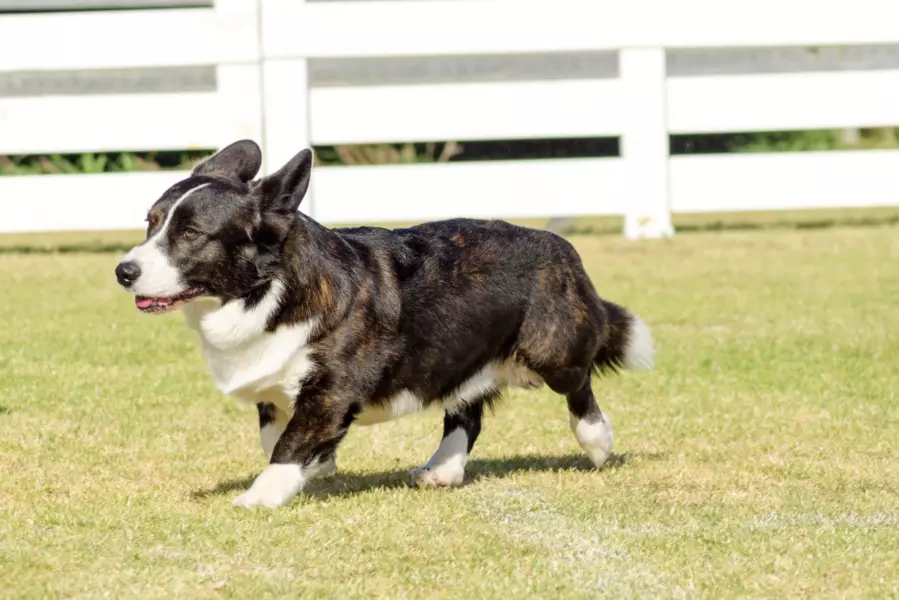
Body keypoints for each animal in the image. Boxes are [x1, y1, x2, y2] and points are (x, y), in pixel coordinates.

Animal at [114, 139, 652, 506]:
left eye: (190, 234)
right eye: (150, 223)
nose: (124, 272)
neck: (269, 290)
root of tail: (561, 248)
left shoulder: (331, 390)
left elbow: (287, 445)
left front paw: (259, 496)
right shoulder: (273, 389)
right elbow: (276, 434)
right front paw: (320, 464)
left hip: (553, 352)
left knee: (579, 389)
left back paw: (598, 443)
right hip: (460, 354)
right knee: (466, 413)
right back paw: (441, 471)